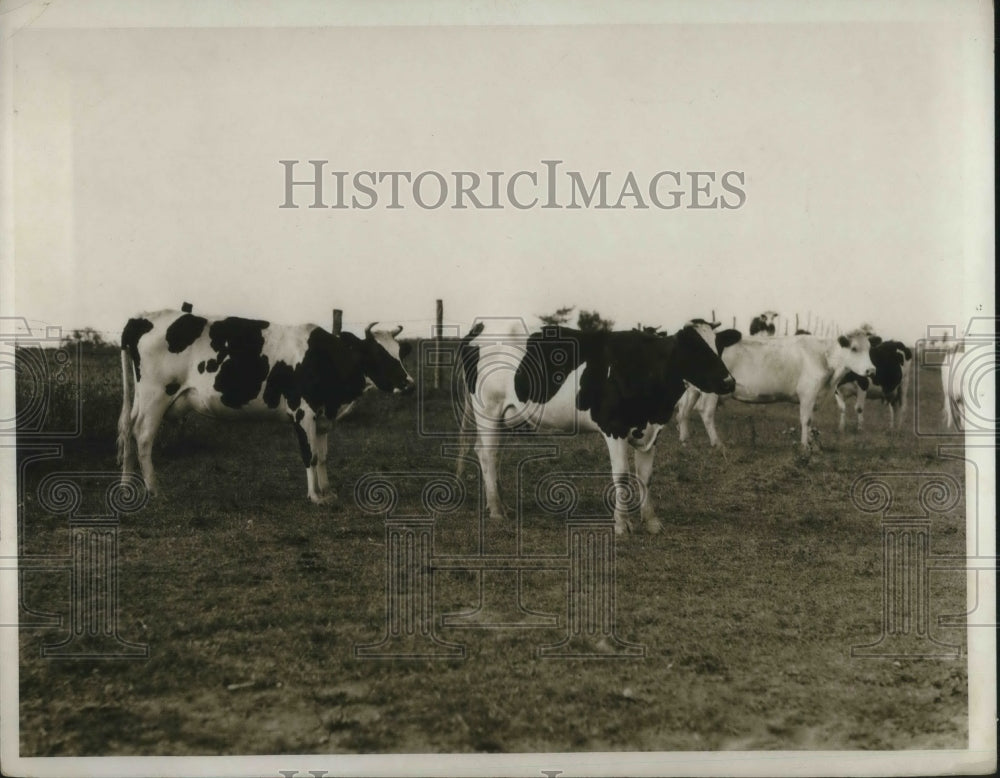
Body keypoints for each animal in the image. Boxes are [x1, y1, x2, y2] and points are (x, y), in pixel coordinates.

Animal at [118, 310, 414, 504]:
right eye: (377, 354)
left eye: (399, 352)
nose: (408, 384)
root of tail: (142, 318)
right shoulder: (302, 412)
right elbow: (309, 455)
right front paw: (314, 496)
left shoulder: (322, 417)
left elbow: (322, 456)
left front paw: (327, 492)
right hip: (155, 396)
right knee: (143, 437)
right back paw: (155, 490)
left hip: (142, 398)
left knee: (129, 431)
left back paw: (127, 485)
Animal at [456, 316, 736, 532]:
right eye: (696, 349)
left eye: (717, 347)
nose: (729, 382)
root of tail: (481, 325)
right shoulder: (614, 427)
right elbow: (621, 475)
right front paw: (622, 524)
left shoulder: (651, 430)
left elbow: (645, 476)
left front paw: (652, 522)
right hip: (488, 410)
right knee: (487, 454)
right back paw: (496, 510)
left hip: (504, 415)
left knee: (491, 454)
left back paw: (502, 504)